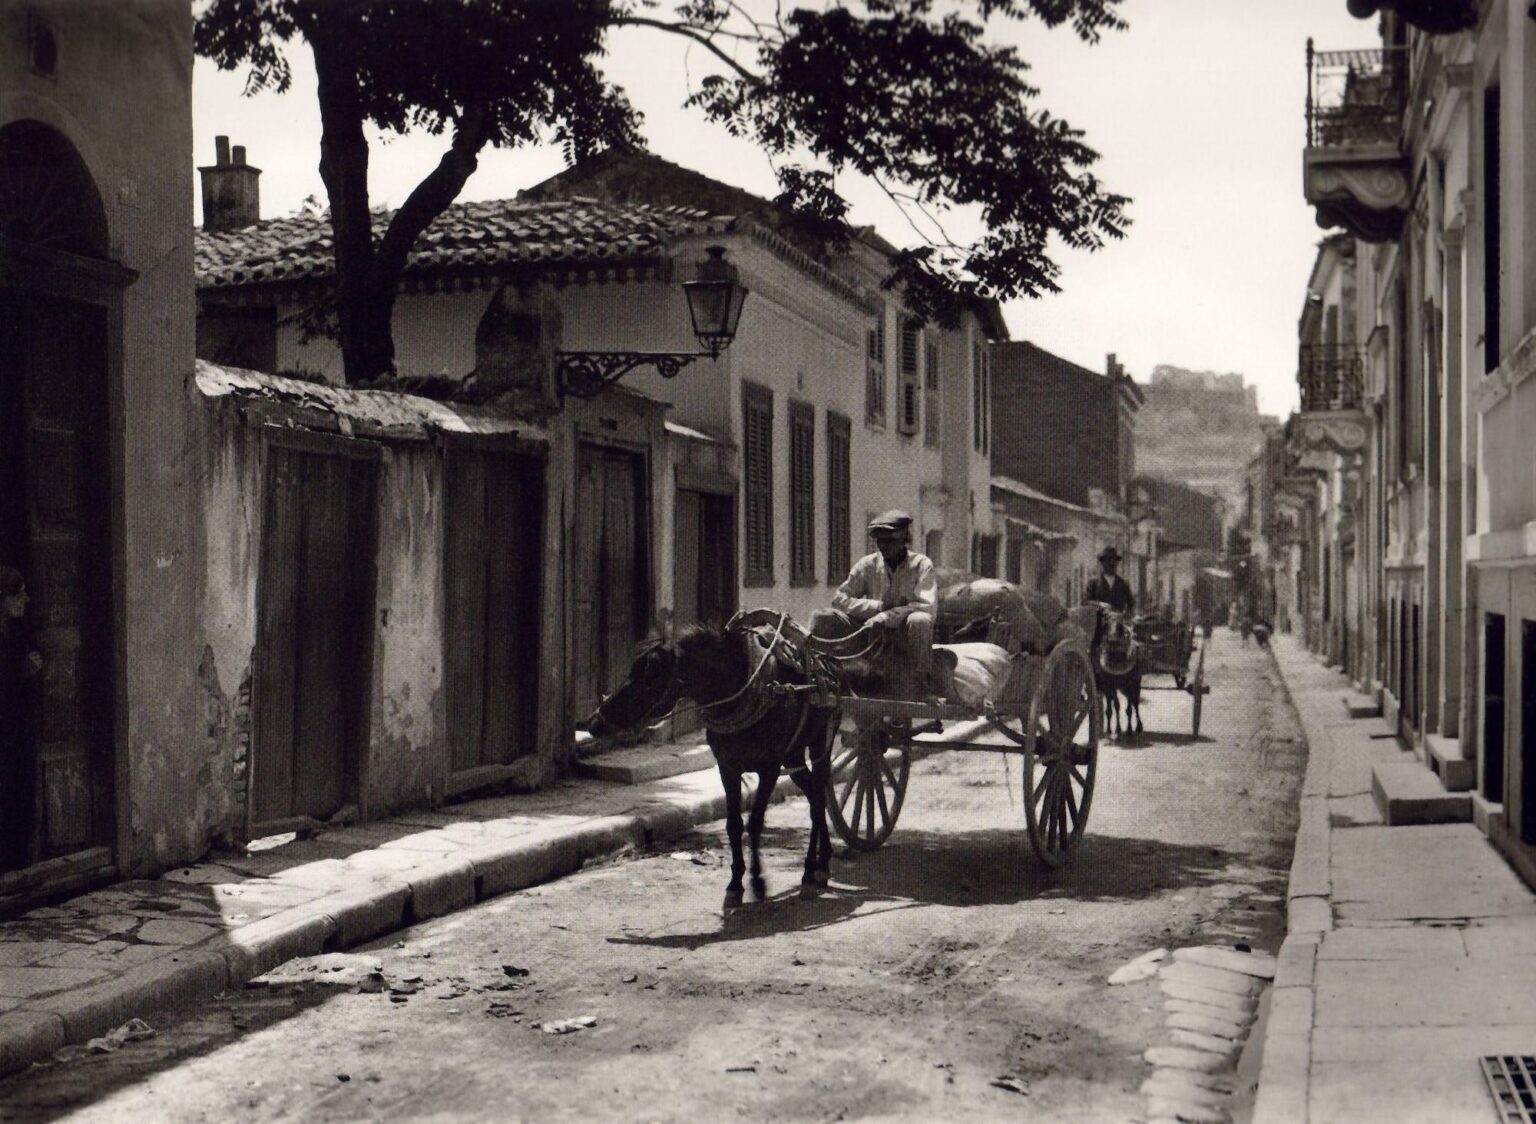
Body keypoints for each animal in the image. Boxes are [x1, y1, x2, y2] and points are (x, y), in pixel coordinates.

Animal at [586, 620, 854, 909]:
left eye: (649, 677)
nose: (594, 722)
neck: (742, 690)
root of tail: (831, 667)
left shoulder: (769, 768)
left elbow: (755, 823)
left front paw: (758, 882)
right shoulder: (727, 767)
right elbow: (734, 824)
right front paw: (735, 885)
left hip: (820, 744)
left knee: (818, 800)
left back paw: (811, 872)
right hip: (792, 756)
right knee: (815, 796)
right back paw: (820, 863)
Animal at [1093, 604, 1142, 737]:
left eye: (1120, 624)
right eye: (1106, 623)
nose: (1113, 640)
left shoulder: (1130, 683)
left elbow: (1129, 708)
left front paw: (1129, 729)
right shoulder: (1109, 685)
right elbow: (1114, 707)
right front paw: (1115, 729)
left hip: (1136, 683)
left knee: (1136, 703)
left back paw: (1139, 726)